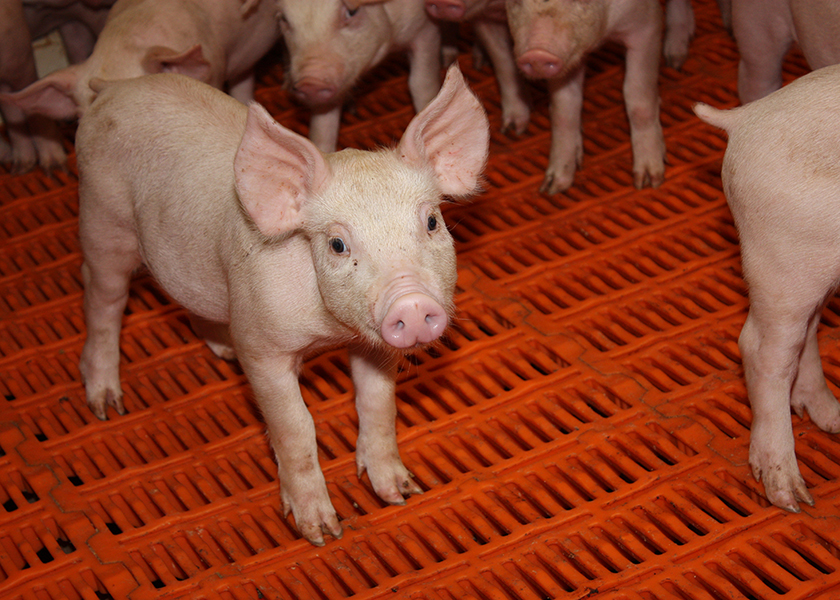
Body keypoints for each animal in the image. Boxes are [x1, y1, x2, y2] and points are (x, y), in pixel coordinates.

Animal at [75, 65, 490, 545]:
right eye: (336, 244)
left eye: (432, 222)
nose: (411, 303)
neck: (329, 333)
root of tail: (112, 89)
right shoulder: (262, 348)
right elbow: (294, 427)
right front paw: (322, 532)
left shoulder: (371, 345)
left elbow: (378, 404)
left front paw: (402, 493)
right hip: (102, 220)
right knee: (103, 298)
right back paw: (107, 405)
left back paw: (223, 350)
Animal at [277, 0, 444, 152]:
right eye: (284, 19)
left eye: (352, 12)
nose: (309, 82)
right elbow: (323, 125)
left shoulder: (426, 29)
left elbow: (421, 84)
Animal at [505, 0, 667, 194]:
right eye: (515, 1)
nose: (537, 54)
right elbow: (564, 108)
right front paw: (552, 187)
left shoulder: (648, 25)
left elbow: (638, 97)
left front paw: (649, 182)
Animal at [693, 63, 840, 513]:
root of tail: (744, 119)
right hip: (782, 256)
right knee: (761, 349)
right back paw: (791, 496)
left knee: (806, 332)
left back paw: (832, 419)